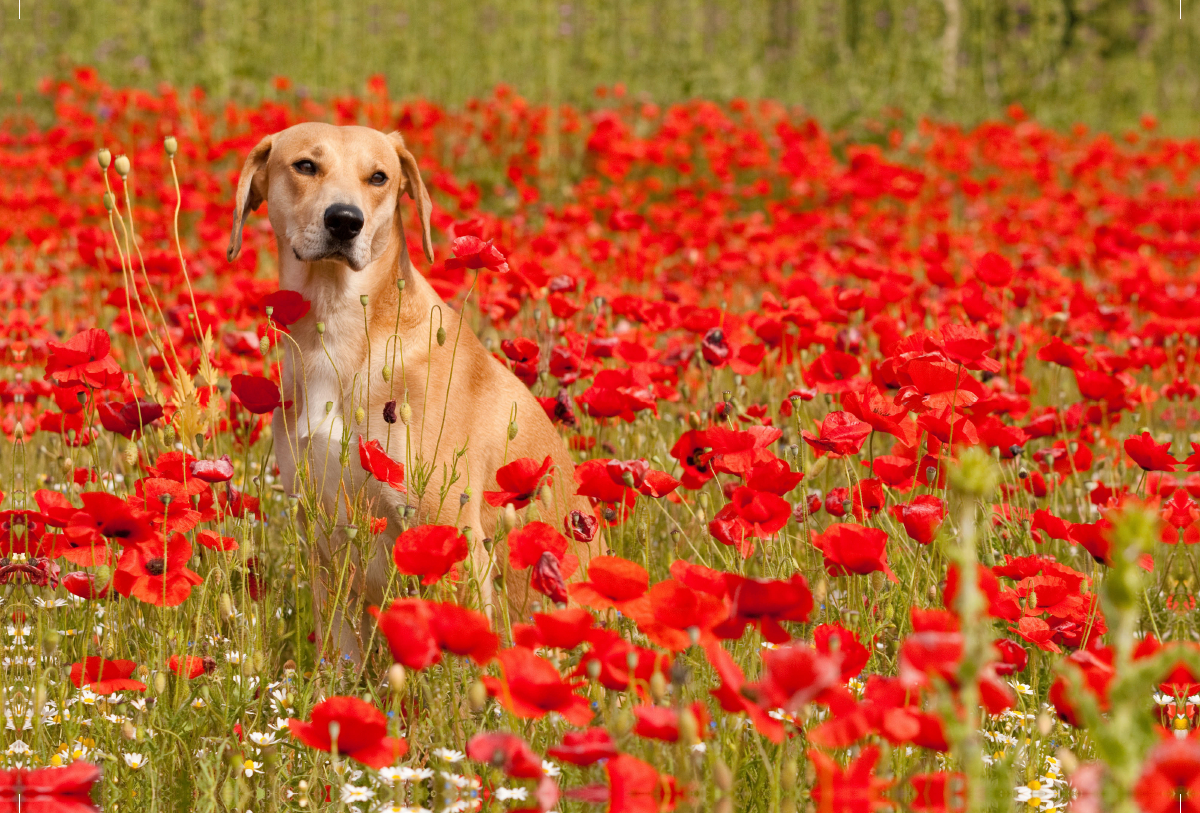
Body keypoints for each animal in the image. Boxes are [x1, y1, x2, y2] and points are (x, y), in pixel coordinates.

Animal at [225, 124, 595, 666]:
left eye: (379, 177)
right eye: (306, 166)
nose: (344, 220)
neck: (340, 337)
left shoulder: (449, 535)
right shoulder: (323, 541)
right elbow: (339, 658)